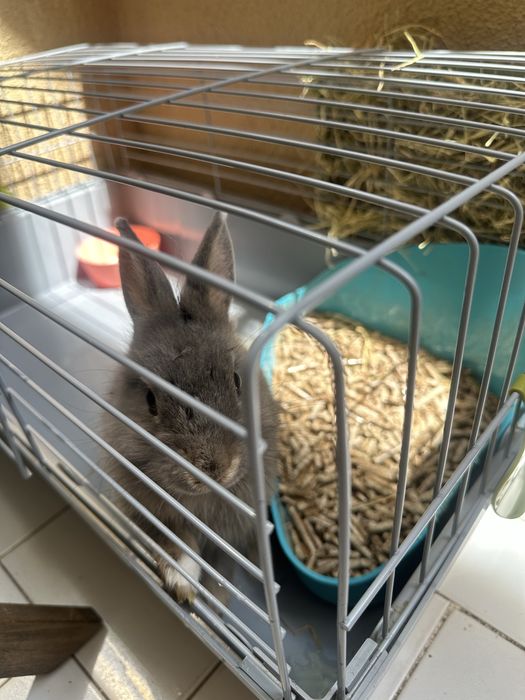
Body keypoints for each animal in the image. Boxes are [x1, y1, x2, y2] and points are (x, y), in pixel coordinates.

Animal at [100, 213, 279, 604]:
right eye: (151, 401)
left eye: (237, 381)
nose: (214, 469)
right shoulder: (150, 509)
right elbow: (175, 543)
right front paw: (183, 587)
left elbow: (223, 570)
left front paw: (216, 597)